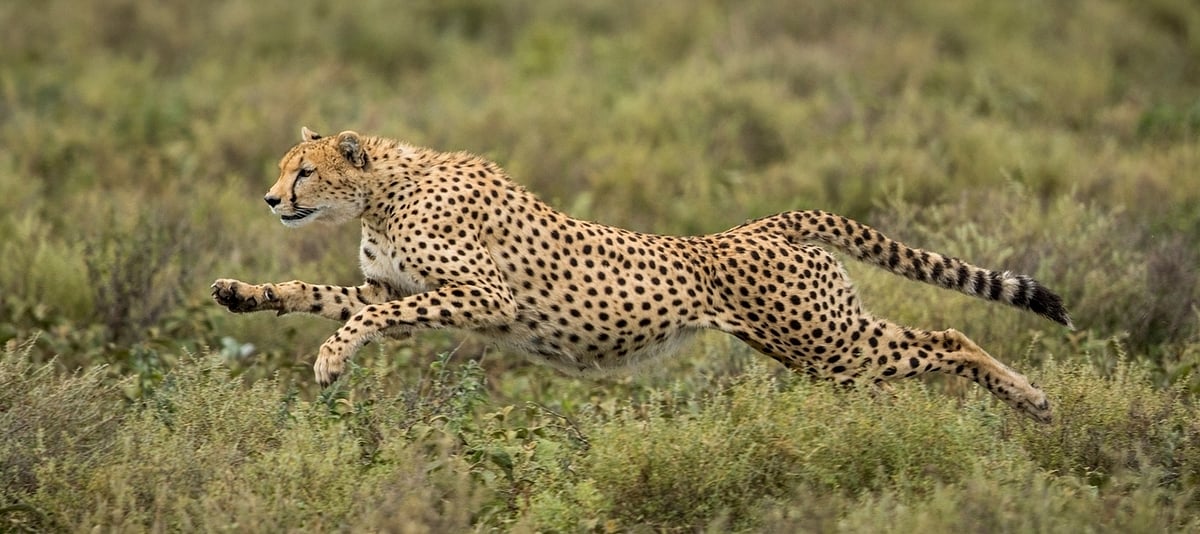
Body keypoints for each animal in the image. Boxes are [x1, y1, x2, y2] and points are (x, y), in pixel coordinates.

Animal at [212, 127, 1072, 423]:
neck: (384, 189)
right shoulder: (396, 288)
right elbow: (323, 296)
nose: (270, 198)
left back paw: (1032, 400)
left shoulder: (479, 296)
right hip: (821, 347)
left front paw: (331, 360)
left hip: (829, 343)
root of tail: (765, 223)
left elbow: (364, 318)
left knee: (951, 336)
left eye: (304, 170)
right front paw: (245, 293)